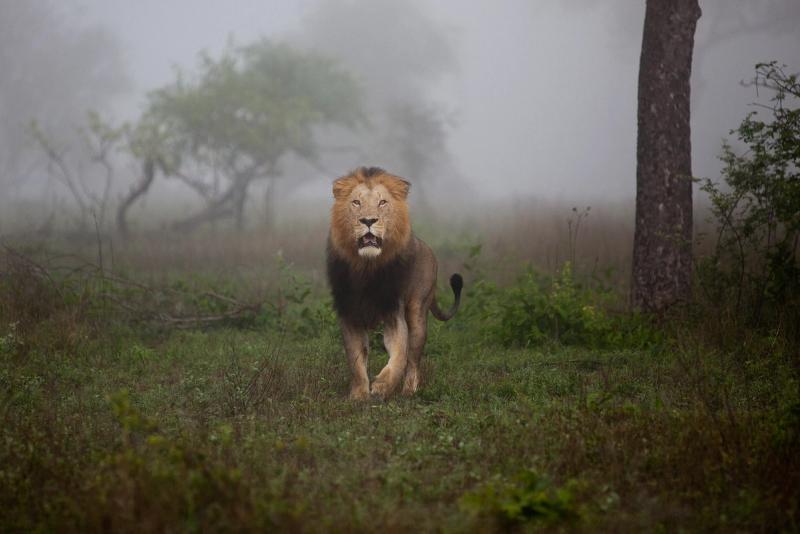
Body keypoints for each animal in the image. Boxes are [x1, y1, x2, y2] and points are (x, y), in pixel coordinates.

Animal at [327, 166, 463, 400]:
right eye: (356, 202)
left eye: (382, 202)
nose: (368, 221)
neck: (367, 268)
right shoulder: (350, 314)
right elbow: (356, 359)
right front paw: (359, 395)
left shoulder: (393, 312)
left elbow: (399, 355)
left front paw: (382, 386)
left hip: (418, 312)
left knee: (414, 359)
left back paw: (408, 391)